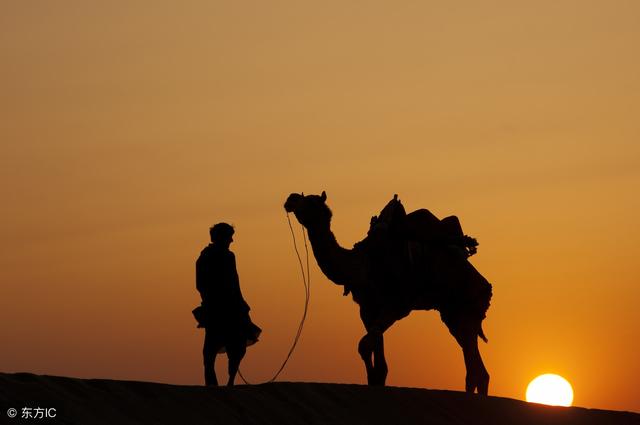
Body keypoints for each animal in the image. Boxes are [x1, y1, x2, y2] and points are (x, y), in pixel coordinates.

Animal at [282, 191, 492, 394]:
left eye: (311, 201)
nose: (291, 198)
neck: (362, 264)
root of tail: (486, 287)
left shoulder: (398, 305)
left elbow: (364, 347)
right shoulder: (367, 309)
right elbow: (379, 364)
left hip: (466, 309)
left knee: (475, 369)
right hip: (453, 314)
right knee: (476, 369)